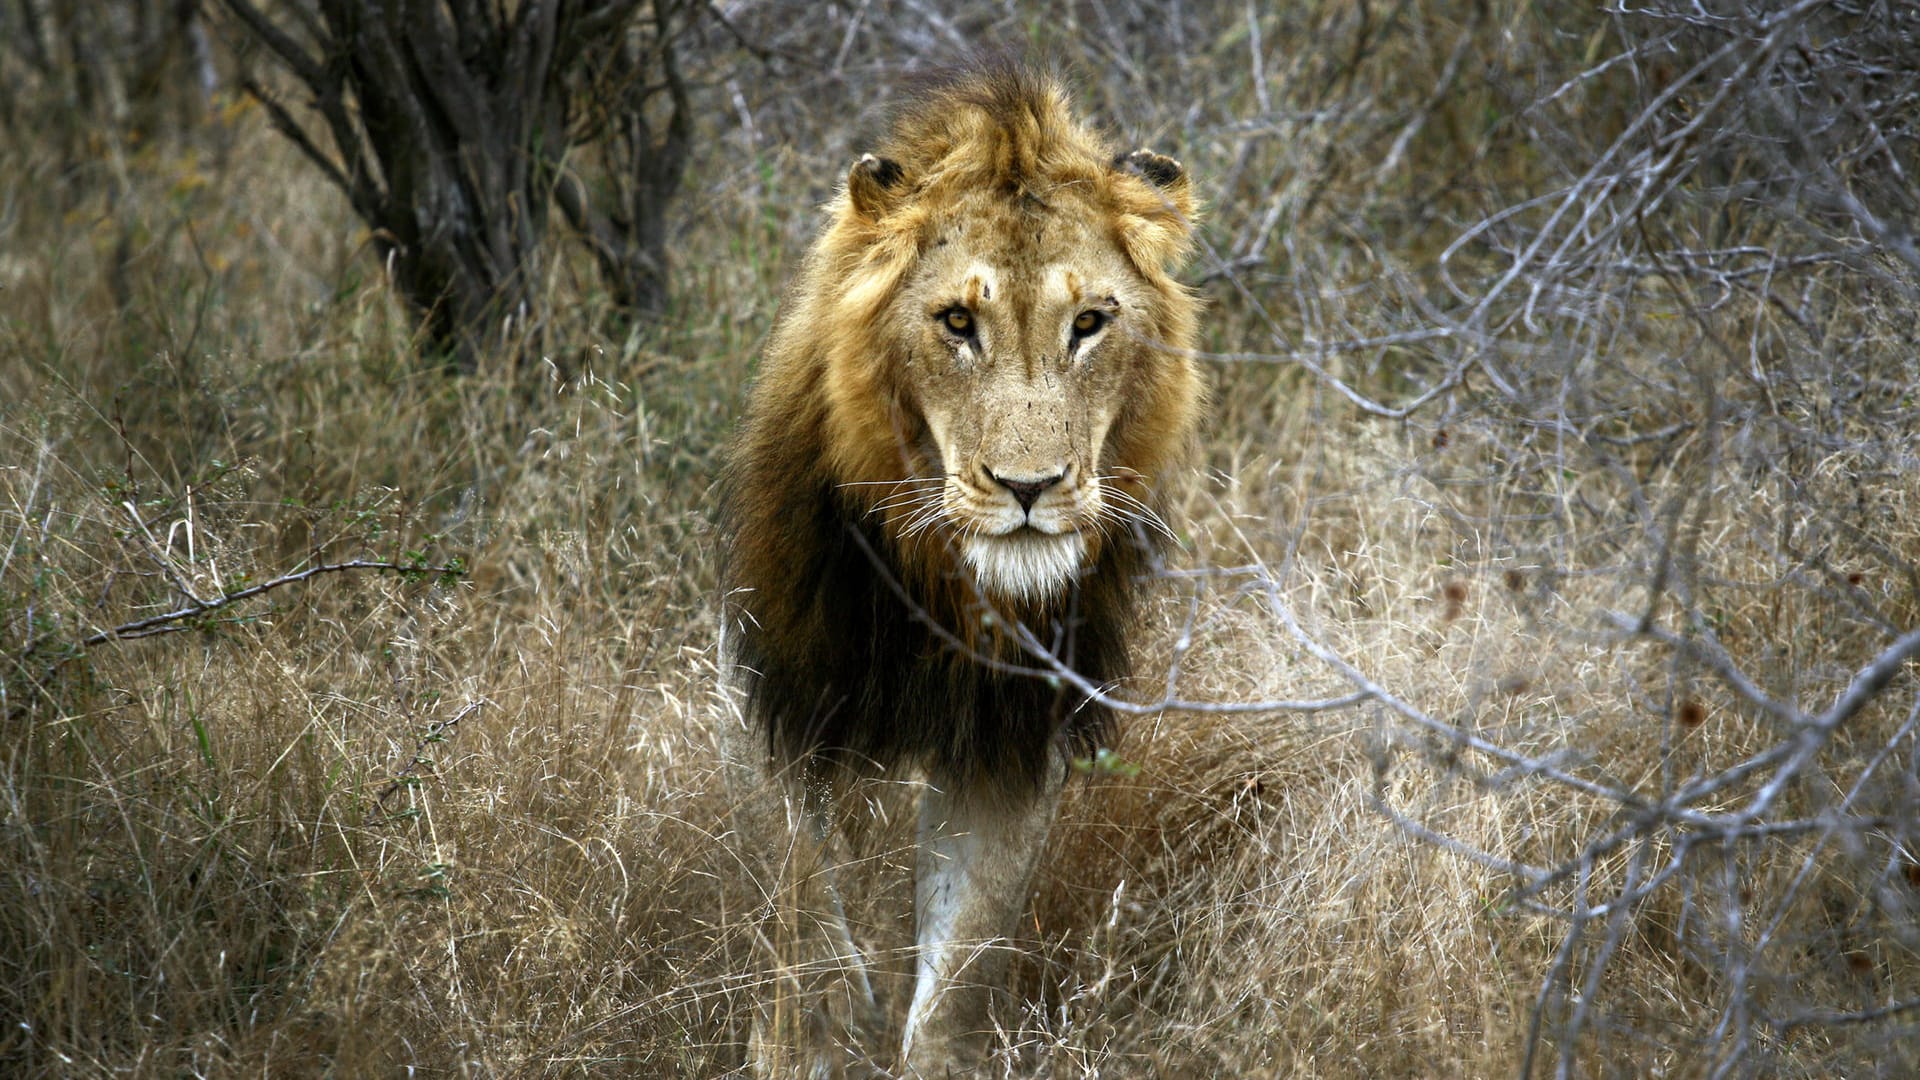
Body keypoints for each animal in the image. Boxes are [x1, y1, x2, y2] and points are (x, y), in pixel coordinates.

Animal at [721, 62, 1198, 1068]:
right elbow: (803, 907)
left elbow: (965, 965)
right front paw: (810, 1036)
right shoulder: (786, 693)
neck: (945, 584)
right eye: (955, 321)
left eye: (1089, 322)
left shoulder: (1008, 740)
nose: (1030, 486)